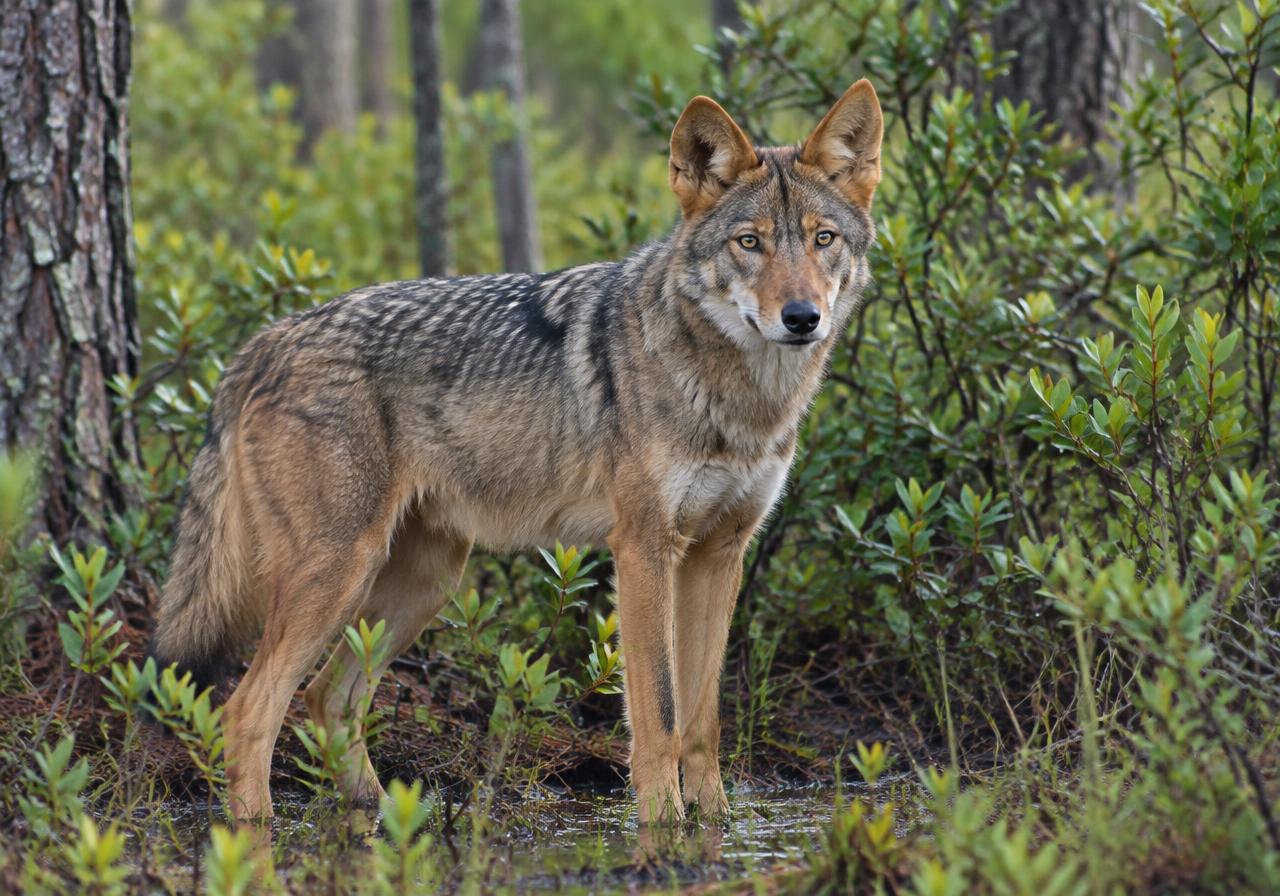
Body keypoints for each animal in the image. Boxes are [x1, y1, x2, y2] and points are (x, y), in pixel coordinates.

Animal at [152, 80, 883, 824]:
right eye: (749, 243)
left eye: (822, 239)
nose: (802, 318)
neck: (738, 399)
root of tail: (261, 343)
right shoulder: (643, 549)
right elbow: (658, 715)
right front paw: (662, 828)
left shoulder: (718, 554)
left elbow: (702, 719)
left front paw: (716, 826)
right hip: (339, 573)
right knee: (248, 709)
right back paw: (254, 831)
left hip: (423, 582)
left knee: (327, 698)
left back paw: (395, 819)